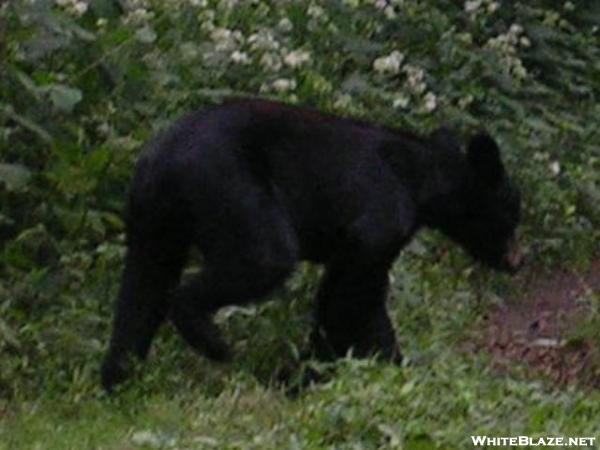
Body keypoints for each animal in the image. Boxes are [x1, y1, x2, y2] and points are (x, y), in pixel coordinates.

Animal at [99, 99, 520, 390]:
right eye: (513, 214)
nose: (516, 261)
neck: (421, 182)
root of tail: (159, 157)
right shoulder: (381, 215)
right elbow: (355, 298)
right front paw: (333, 368)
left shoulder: (363, 241)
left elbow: (342, 291)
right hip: (227, 185)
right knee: (264, 256)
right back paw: (212, 342)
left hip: (154, 218)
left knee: (142, 288)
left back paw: (119, 379)